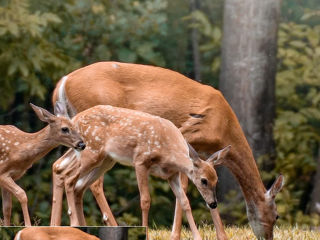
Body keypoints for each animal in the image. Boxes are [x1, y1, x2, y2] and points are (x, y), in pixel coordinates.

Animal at [50, 105, 226, 240]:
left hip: (104, 161)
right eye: (203, 180)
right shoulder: (140, 161)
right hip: (91, 153)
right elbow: (145, 200)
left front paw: (197, 237)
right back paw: (72, 223)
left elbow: (185, 202)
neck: (168, 150)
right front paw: (145, 229)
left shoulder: (172, 175)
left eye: (216, 180)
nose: (213, 203)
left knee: (73, 181)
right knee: (69, 178)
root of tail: (75, 119)